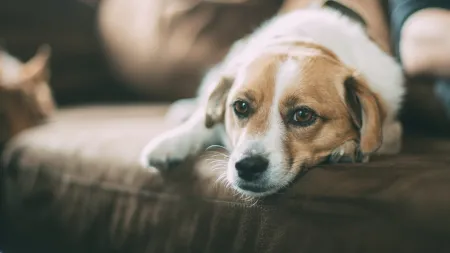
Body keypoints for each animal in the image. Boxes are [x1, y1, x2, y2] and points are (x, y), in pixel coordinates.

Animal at [141, 1, 404, 197]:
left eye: (303, 115)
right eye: (241, 106)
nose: (248, 167)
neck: (302, 42)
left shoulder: (391, 126)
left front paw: (350, 146)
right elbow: (201, 122)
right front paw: (170, 143)